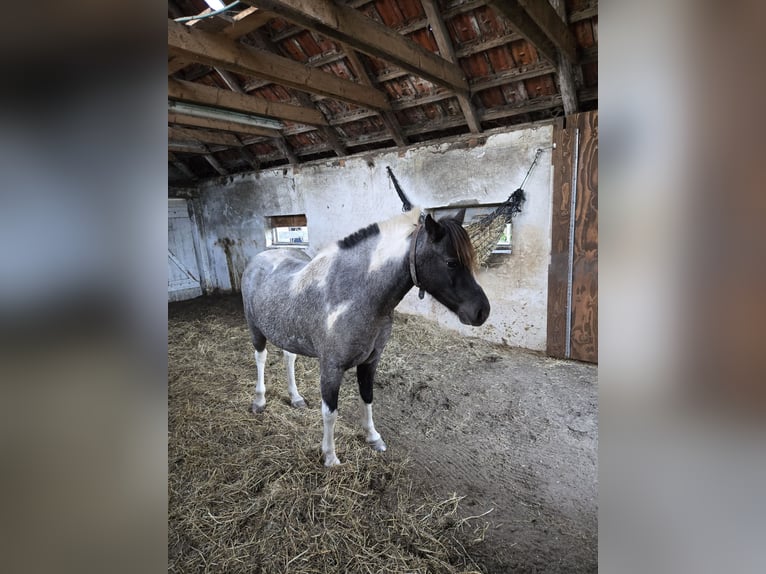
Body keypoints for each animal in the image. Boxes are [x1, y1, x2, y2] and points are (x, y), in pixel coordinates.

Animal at [241, 207, 490, 467]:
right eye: (451, 262)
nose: (482, 311)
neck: (355, 296)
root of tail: (261, 259)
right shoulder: (331, 367)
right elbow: (330, 411)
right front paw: (330, 456)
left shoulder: (370, 361)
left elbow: (367, 398)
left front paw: (373, 437)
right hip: (256, 330)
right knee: (260, 358)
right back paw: (259, 401)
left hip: (287, 332)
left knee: (289, 358)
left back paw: (295, 398)